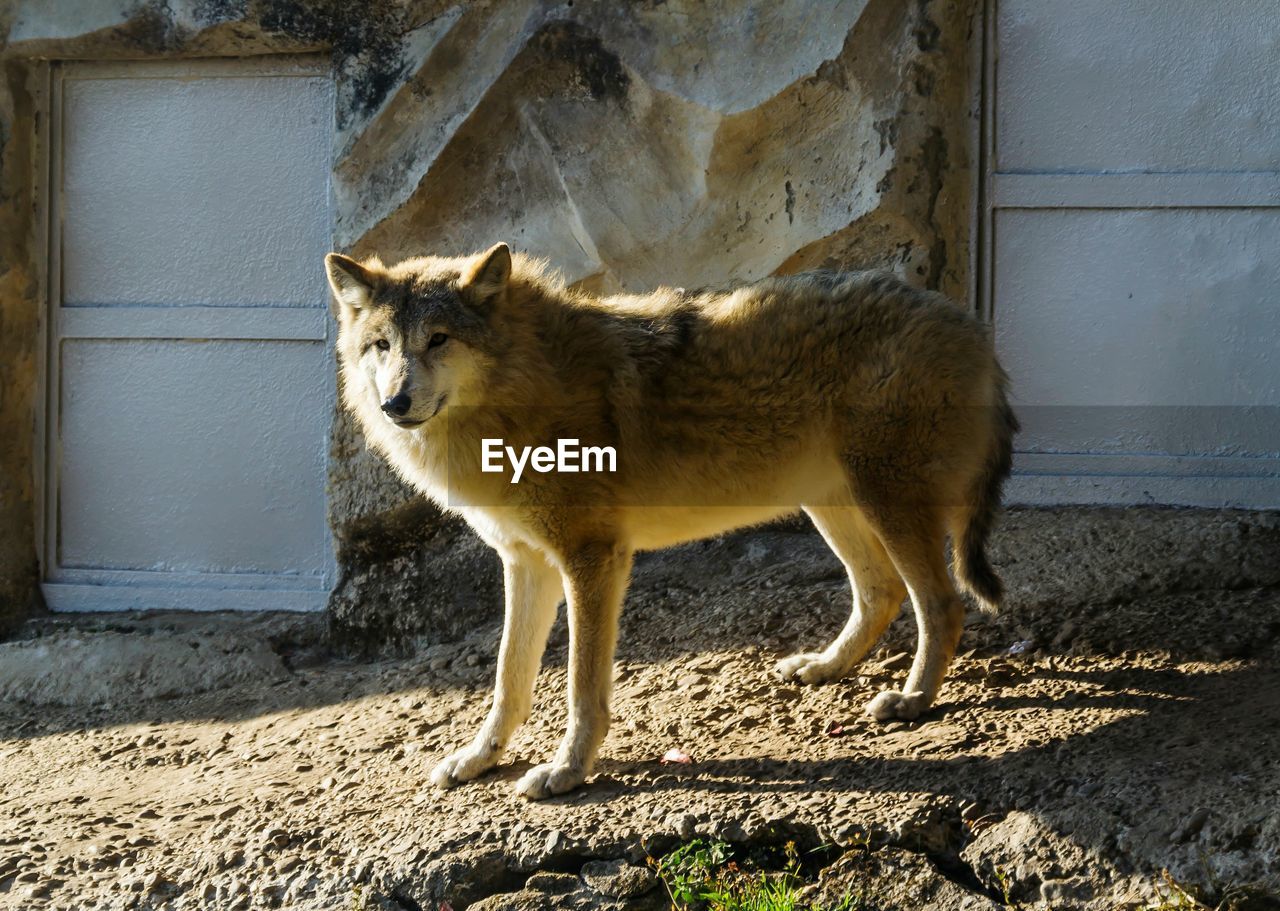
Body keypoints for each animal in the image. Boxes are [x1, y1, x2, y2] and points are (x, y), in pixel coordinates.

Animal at [325, 244, 1013, 798]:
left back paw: (914, 700)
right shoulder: (525, 563)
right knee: (881, 592)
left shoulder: (592, 557)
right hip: (833, 506)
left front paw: (567, 773)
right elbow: (508, 681)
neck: (521, 391)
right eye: (382, 347)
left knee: (941, 602)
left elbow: (581, 687)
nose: (394, 404)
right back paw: (825, 667)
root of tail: (971, 323)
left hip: (884, 504)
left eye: (439, 339)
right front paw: (478, 759)